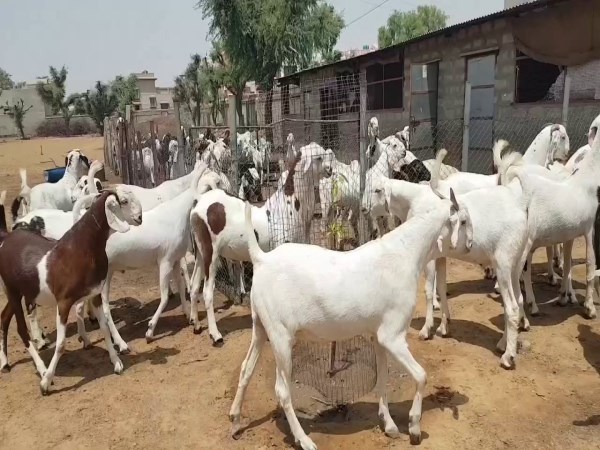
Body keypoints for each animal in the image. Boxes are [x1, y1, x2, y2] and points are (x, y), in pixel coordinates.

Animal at [0, 190, 142, 394]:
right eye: (123, 201)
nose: (140, 218)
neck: (79, 250)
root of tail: (6, 239)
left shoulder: (94, 295)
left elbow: (104, 328)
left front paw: (116, 362)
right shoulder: (64, 302)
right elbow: (60, 344)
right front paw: (45, 382)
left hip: (21, 291)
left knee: (4, 317)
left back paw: (5, 363)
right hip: (12, 290)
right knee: (21, 329)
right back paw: (42, 370)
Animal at [230, 184, 468, 450]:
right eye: (463, 221)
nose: (470, 245)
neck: (406, 253)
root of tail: (262, 258)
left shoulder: (378, 336)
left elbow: (382, 378)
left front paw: (389, 426)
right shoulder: (393, 336)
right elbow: (421, 375)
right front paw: (414, 427)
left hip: (260, 325)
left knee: (246, 369)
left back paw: (236, 421)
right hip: (281, 335)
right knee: (282, 390)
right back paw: (304, 439)